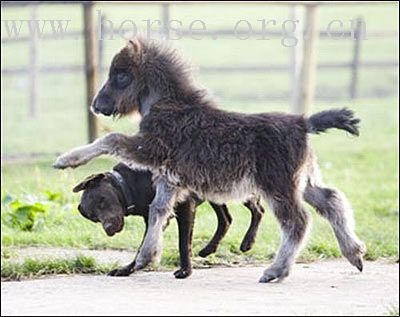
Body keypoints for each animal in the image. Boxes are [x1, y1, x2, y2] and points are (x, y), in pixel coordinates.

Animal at [73, 163, 266, 276]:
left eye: (102, 200)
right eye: (93, 217)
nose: (109, 229)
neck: (130, 184)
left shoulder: (185, 207)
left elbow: (183, 243)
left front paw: (185, 271)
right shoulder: (153, 218)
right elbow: (144, 246)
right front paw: (128, 269)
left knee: (258, 210)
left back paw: (248, 242)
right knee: (226, 219)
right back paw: (209, 249)